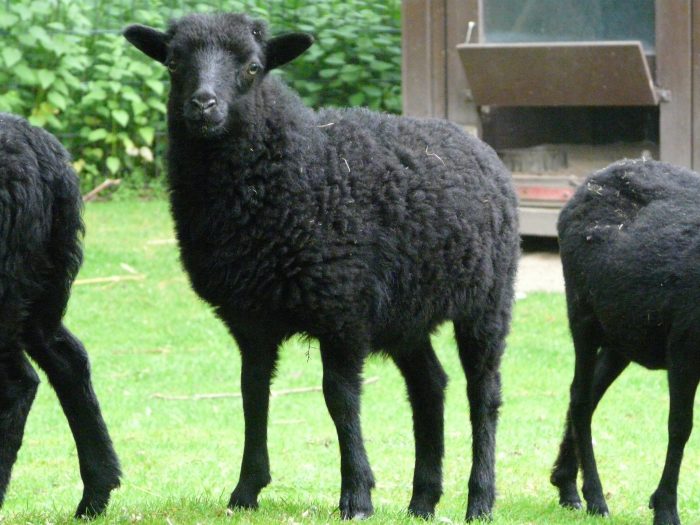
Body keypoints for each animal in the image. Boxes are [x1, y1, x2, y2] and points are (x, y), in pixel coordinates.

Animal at [123, 12, 519, 520]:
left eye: (253, 67)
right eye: (173, 63)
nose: (203, 104)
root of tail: (476, 145)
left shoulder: (341, 311)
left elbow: (340, 400)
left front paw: (357, 495)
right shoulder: (250, 319)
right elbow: (252, 394)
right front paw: (246, 489)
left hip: (487, 303)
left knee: (483, 394)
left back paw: (480, 499)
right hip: (405, 313)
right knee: (430, 386)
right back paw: (422, 500)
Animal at [552, 159, 700, 525]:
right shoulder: (684, 348)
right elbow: (680, 427)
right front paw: (665, 507)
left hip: (622, 336)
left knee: (589, 395)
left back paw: (566, 484)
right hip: (582, 315)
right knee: (580, 399)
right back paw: (594, 496)